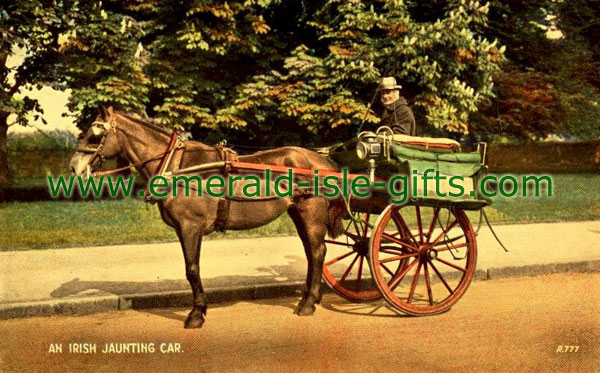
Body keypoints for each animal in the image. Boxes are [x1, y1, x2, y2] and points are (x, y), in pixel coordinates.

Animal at [69, 107, 342, 328]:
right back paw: (311, 297)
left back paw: (308, 303)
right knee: (312, 254)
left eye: (95, 134)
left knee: (317, 251)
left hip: (311, 213)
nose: (74, 167)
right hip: (298, 212)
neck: (177, 166)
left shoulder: (191, 226)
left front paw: (196, 313)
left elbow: (192, 269)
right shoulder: (182, 229)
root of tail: (319, 158)